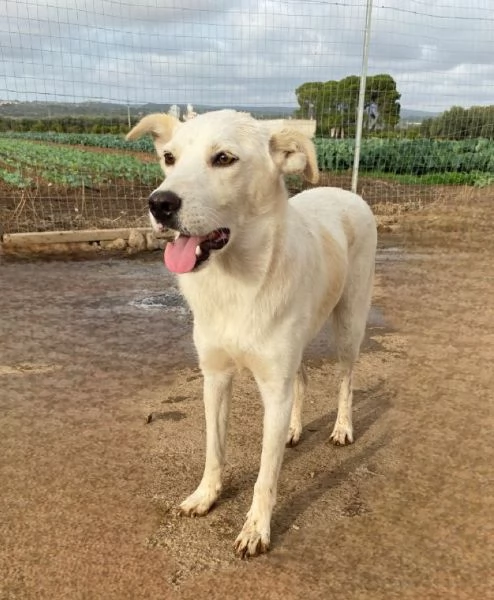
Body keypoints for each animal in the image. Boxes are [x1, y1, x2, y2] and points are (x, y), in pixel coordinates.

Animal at [125, 111, 376, 556]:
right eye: (169, 157)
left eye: (224, 158)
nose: (160, 203)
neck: (235, 284)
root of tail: (345, 192)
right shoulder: (215, 377)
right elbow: (214, 449)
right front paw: (205, 496)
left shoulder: (273, 388)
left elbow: (266, 473)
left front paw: (257, 528)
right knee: (303, 376)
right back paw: (294, 428)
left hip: (349, 323)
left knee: (346, 379)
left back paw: (342, 427)